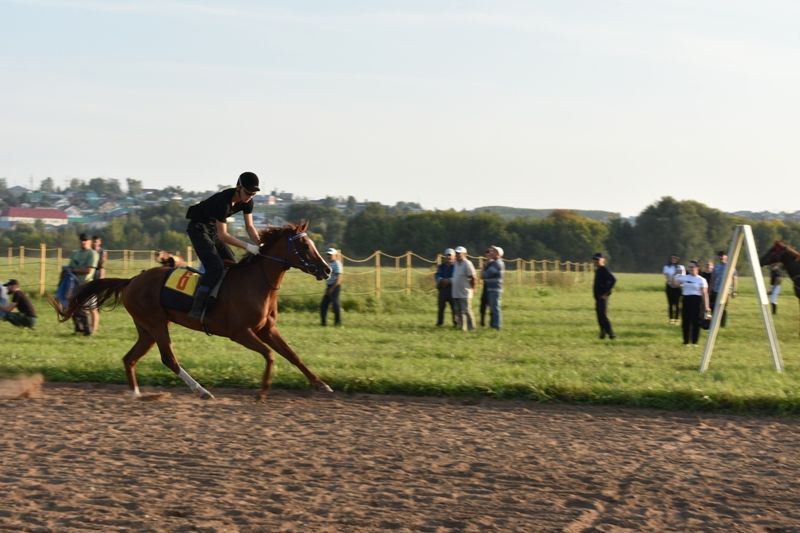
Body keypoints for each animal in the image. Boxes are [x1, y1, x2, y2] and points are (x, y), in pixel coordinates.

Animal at [51, 220, 332, 400]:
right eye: (304, 246)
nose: (327, 269)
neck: (256, 281)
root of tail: (131, 280)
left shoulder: (267, 329)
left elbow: (292, 355)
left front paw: (322, 384)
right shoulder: (240, 332)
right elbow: (270, 355)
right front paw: (262, 392)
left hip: (146, 328)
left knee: (129, 358)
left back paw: (137, 394)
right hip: (156, 324)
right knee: (168, 358)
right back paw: (201, 391)